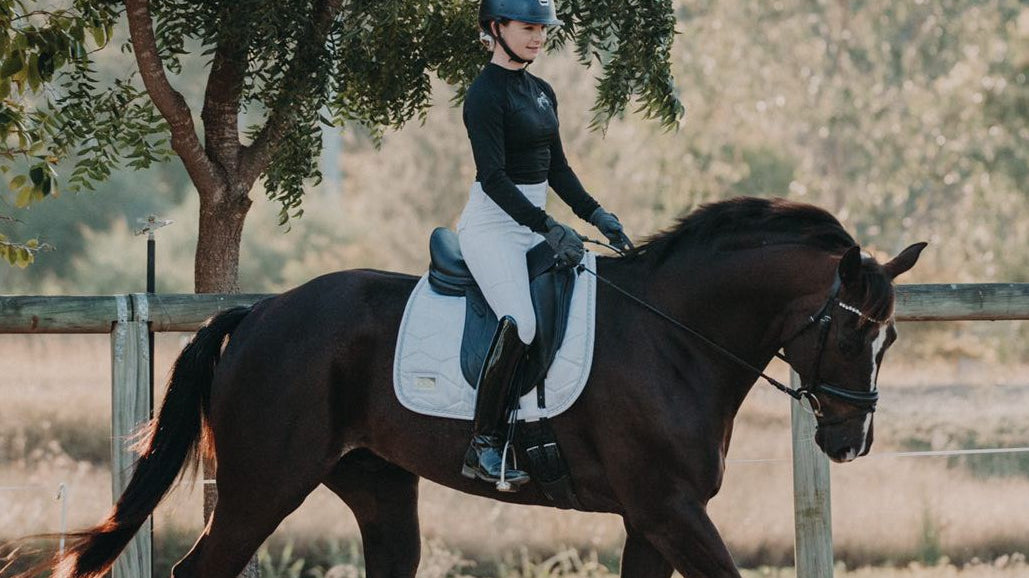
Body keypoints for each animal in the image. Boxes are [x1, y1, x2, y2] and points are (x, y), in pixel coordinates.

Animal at [38, 197, 924, 578]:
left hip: (375, 486)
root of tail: (257, 315)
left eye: (889, 337)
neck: (675, 334)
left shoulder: (652, 517)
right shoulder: (671, 511)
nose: (850, 442)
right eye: (853, 333)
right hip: (265, 484)